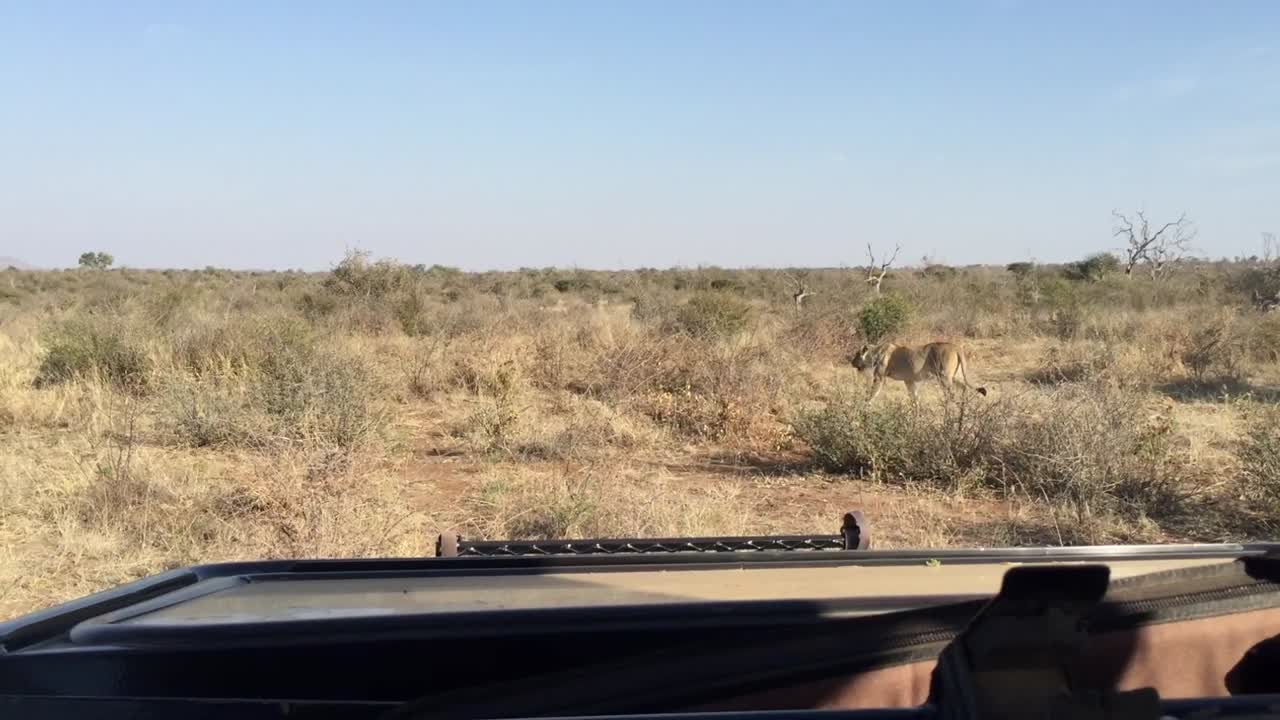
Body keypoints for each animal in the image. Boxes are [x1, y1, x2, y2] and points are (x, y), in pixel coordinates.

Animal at [847, 341, 987, 404]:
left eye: (856, 355)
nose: (851, 362)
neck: (876, 353)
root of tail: (956, 347)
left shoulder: (879, 377)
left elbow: (872, 393)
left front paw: (864, 404)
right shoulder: (909, 380)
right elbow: (914, 398)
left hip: (944, 377)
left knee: (951, 394)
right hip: (955, 376)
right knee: (965, 388)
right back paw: (964, 407)